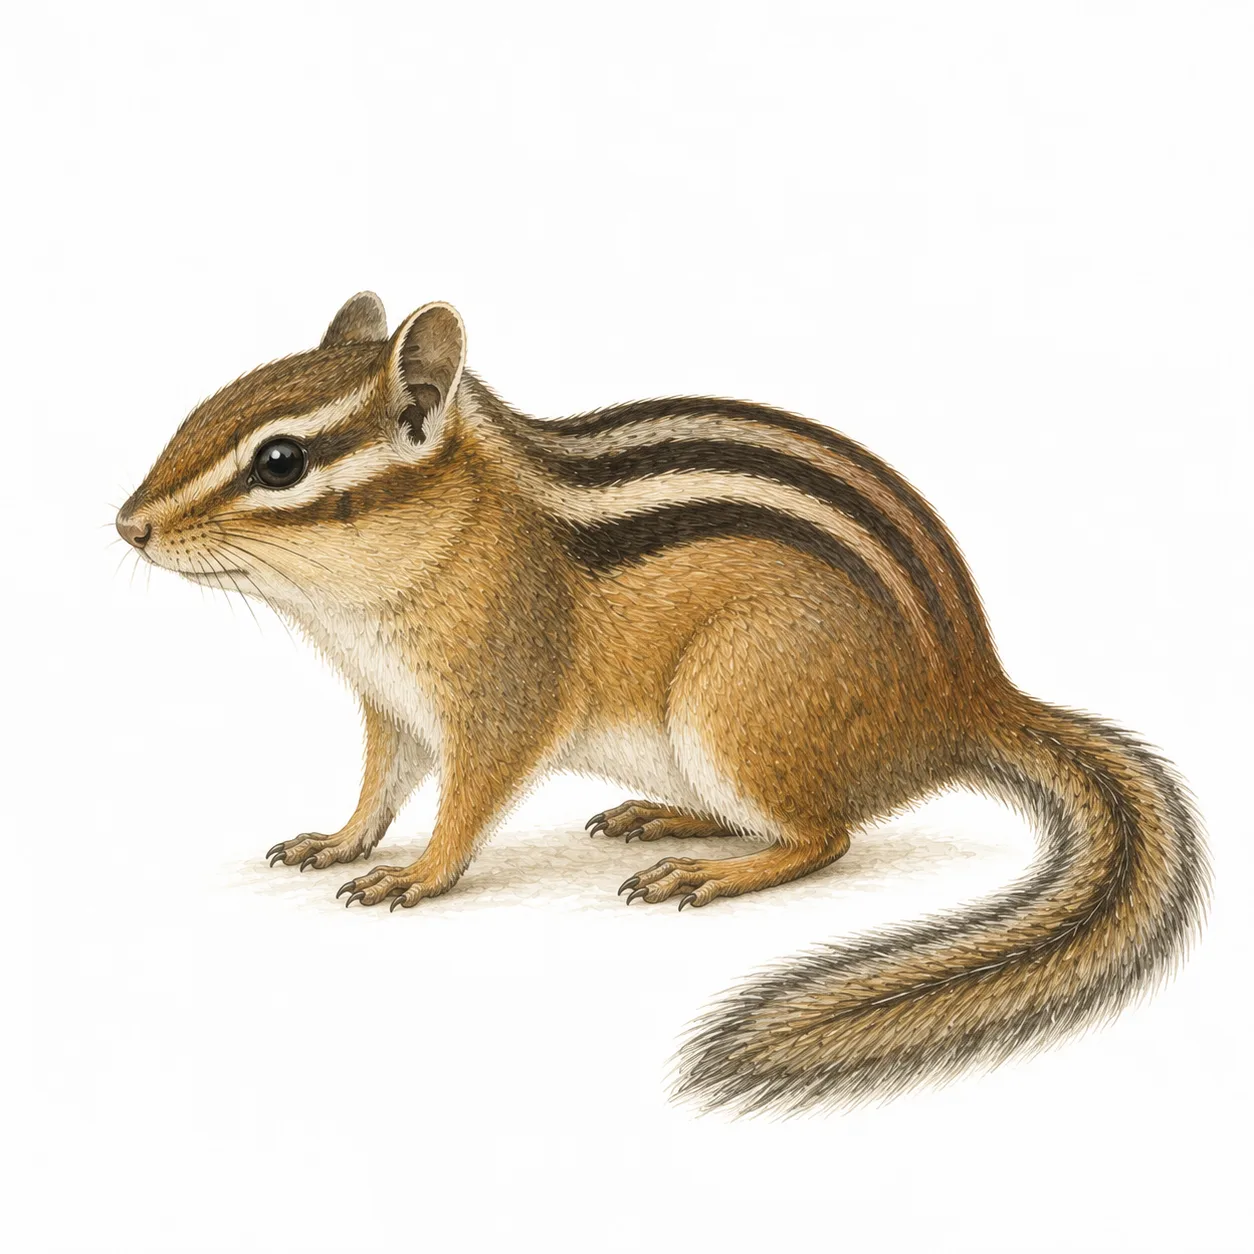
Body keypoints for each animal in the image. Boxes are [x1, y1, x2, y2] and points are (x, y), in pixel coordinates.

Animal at [118, 292, 1210, 1114]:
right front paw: (338, 842)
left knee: (824, 838)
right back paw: (665, 818)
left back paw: (711, 872)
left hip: (736, 705)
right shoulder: (392, 706)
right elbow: (379, 788)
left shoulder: (504, 696)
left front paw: (417, 876)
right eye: (202, 408)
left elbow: (468, 802)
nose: (127, 526)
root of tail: (972, 699)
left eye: (280, 462)